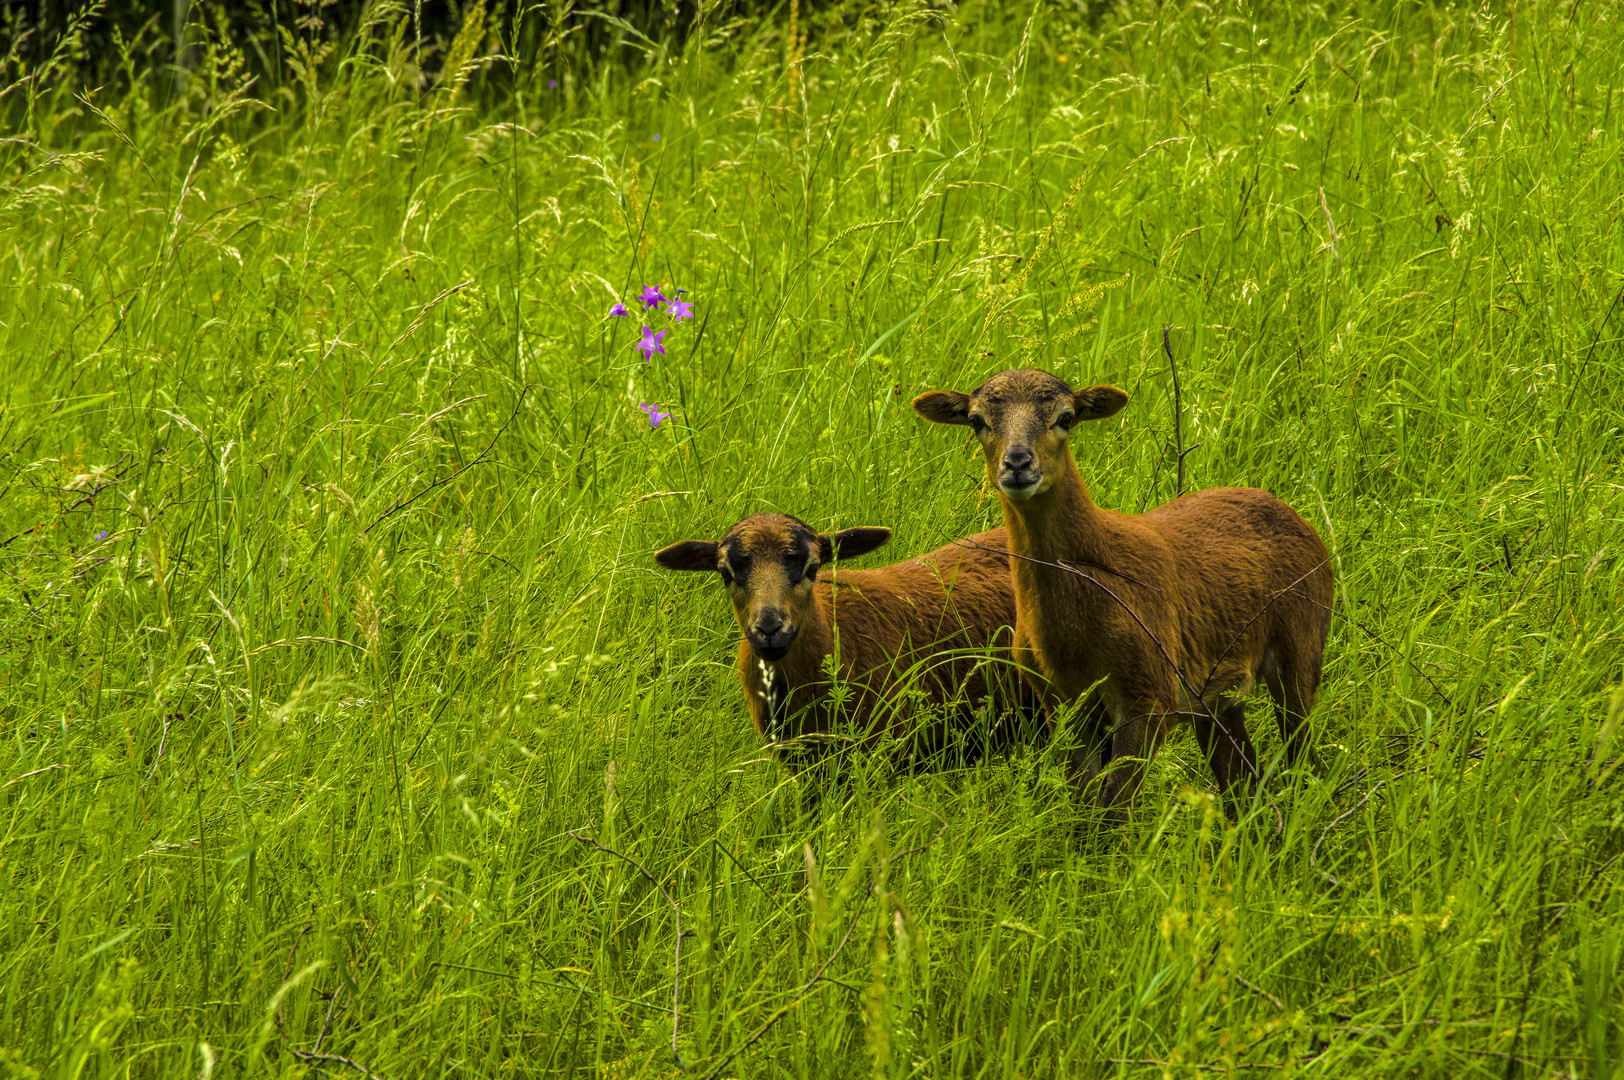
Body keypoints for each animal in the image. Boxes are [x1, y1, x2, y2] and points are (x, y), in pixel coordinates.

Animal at [915, 367, 1331, 812]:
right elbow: (1086, 798)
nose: (1018, 463)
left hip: (1303, 641)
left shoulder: (1149, 695)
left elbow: (1113, 805)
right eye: (976, 421)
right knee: (1240, 774)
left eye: (1066, 417)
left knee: (1303, 754)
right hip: (1216, 694)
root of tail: (1287, 510)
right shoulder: (1060, 701)